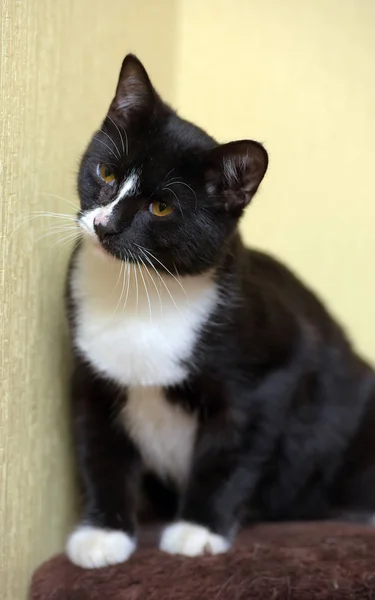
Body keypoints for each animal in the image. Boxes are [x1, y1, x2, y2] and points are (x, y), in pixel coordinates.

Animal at [64, 52, 375, 568]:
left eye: (161, 207)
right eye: (106, 173)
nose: (104, 225)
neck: (145, 292)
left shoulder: (272, 373)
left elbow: (231, 455)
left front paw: (198, 530)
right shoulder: (92, 377)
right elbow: (99, 452)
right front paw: (104, 534)